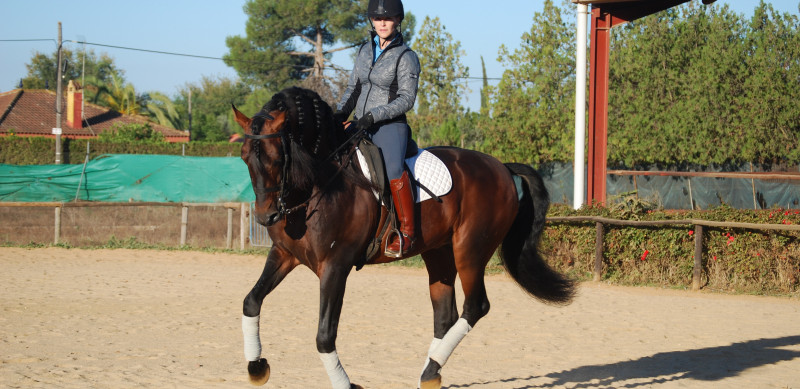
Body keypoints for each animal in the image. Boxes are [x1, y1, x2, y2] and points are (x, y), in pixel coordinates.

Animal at [231, 86, 576, 386]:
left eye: (277, 158)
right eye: (245, 156)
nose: (266, 217)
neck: (320, 182)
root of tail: (502, 168)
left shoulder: (335, 267)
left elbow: (324, 336)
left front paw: (345, 384)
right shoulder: (284, 255)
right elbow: (251, 301)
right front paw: (256, 367)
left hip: (470, 251)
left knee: (475, 307)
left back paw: (432, 368)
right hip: (439, 254)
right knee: (445, 315)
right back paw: (430, 373)